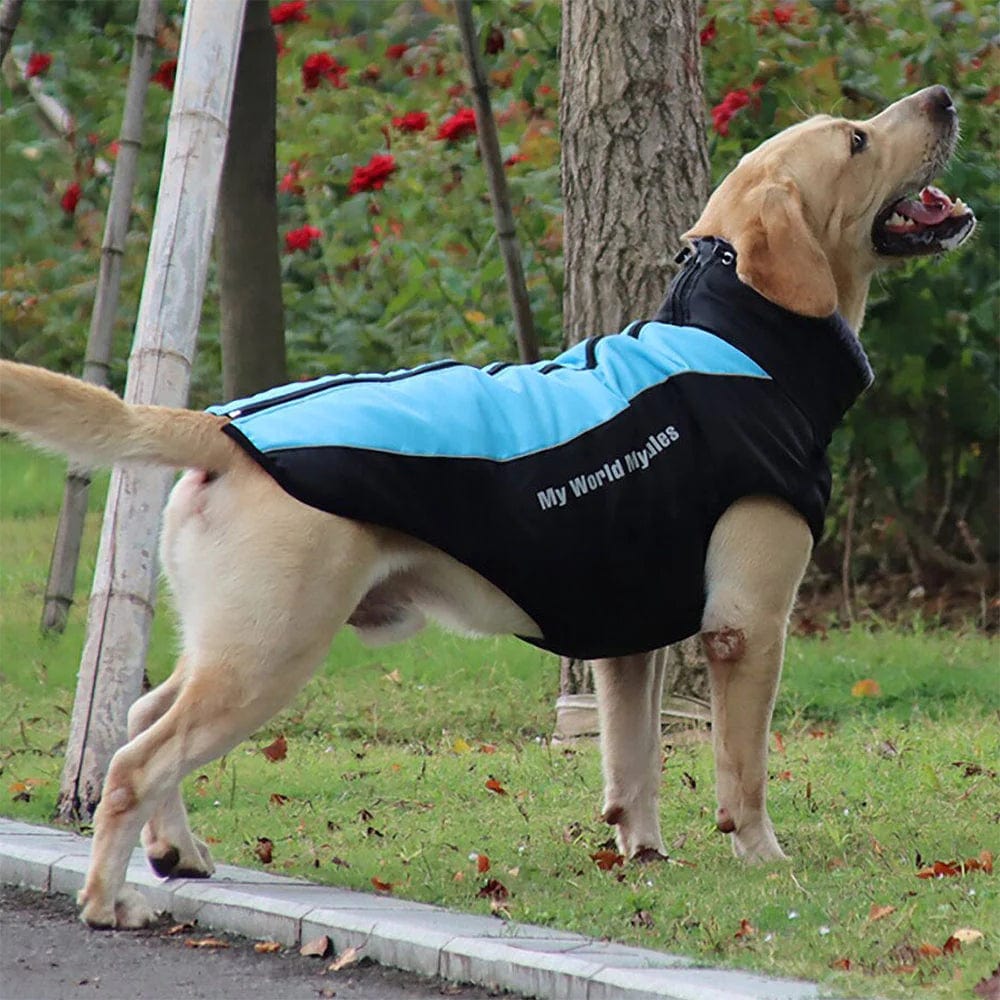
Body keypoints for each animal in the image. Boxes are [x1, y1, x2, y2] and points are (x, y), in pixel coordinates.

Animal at [0, 88, 972, 928]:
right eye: (857, 140)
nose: (943, 96)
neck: (740, 333)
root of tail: (220, 426)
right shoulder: (746, 625)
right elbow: (744, 770)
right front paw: (764, 860)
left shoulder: (630, 644)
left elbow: (634, 764)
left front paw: (644, 857)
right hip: (269, 649)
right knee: (136, 760)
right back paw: (108, 899)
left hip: (232, 641)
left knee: (140, 718)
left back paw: (179, 852)